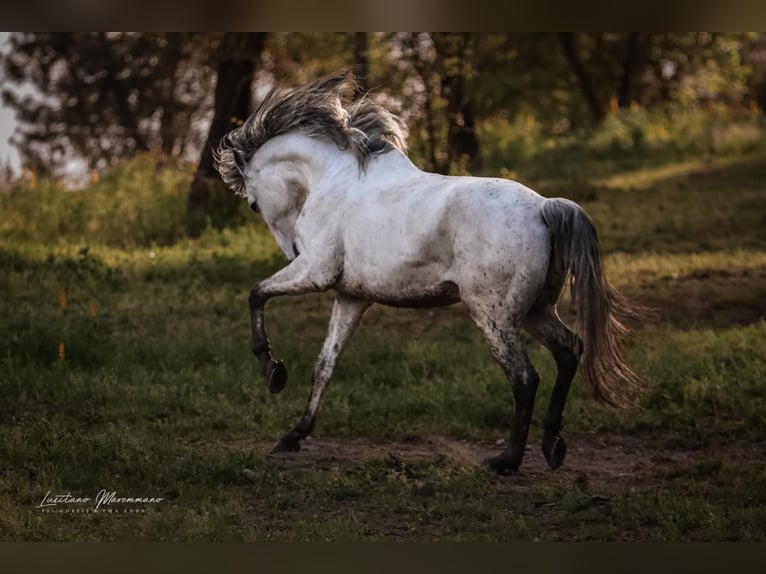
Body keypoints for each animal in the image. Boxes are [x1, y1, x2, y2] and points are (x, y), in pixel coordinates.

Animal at [214, 73, 640, 476]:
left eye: (253, 205)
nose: (292, 249)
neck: (336, 177)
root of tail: (545, 207)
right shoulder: (351, 297)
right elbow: (324, 366)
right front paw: (294, 434)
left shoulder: (315, 272)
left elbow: (256, 293)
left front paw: (273, 372)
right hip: (534, 311)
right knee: (569, 350)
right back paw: (552, 445)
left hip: (494, 317)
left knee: (525, 378)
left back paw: (506, 460)